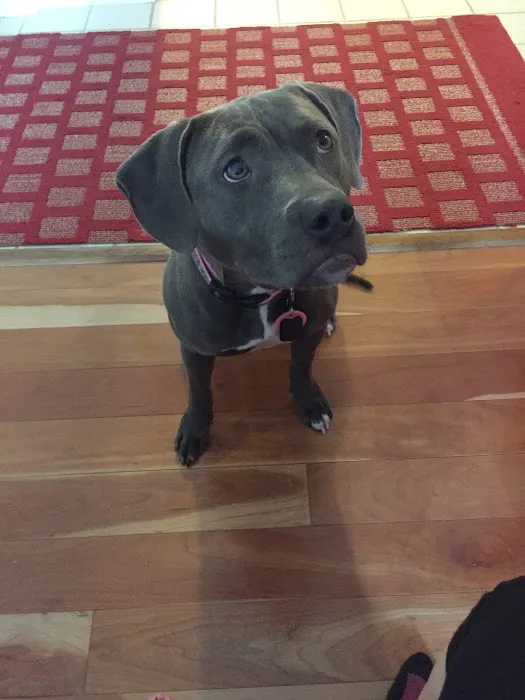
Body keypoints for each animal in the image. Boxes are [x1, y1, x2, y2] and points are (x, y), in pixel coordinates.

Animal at [116, 81, 367, 466]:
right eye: (235, 170)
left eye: (323, 139)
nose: (331, 214)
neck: (258, 296)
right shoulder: (195, 351)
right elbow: (200, 391)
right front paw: (195, 429)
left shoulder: (304, 335)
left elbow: (300, 367)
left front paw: (309, 402)